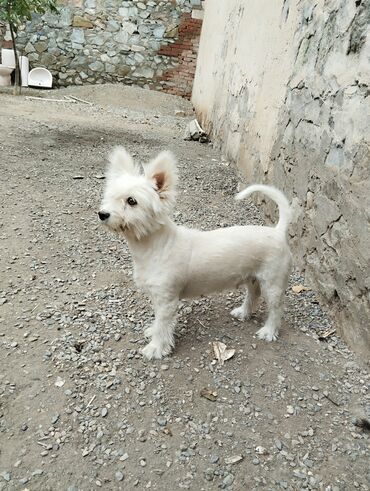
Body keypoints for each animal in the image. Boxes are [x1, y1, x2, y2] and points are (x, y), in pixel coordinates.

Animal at [98, 148, 292, 360]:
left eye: (131, 201)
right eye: (109, 196)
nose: (102, 214)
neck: (154, 247)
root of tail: (277, 231)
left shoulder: (167, 301)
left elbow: (163, 326)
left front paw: (156, 348)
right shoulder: (158, 297)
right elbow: (158, 322)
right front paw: (153, 331)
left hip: (272, 285)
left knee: (277, 309)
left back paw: (269, 331)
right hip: (252, 278)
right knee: (253, 295)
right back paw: (243, 312)